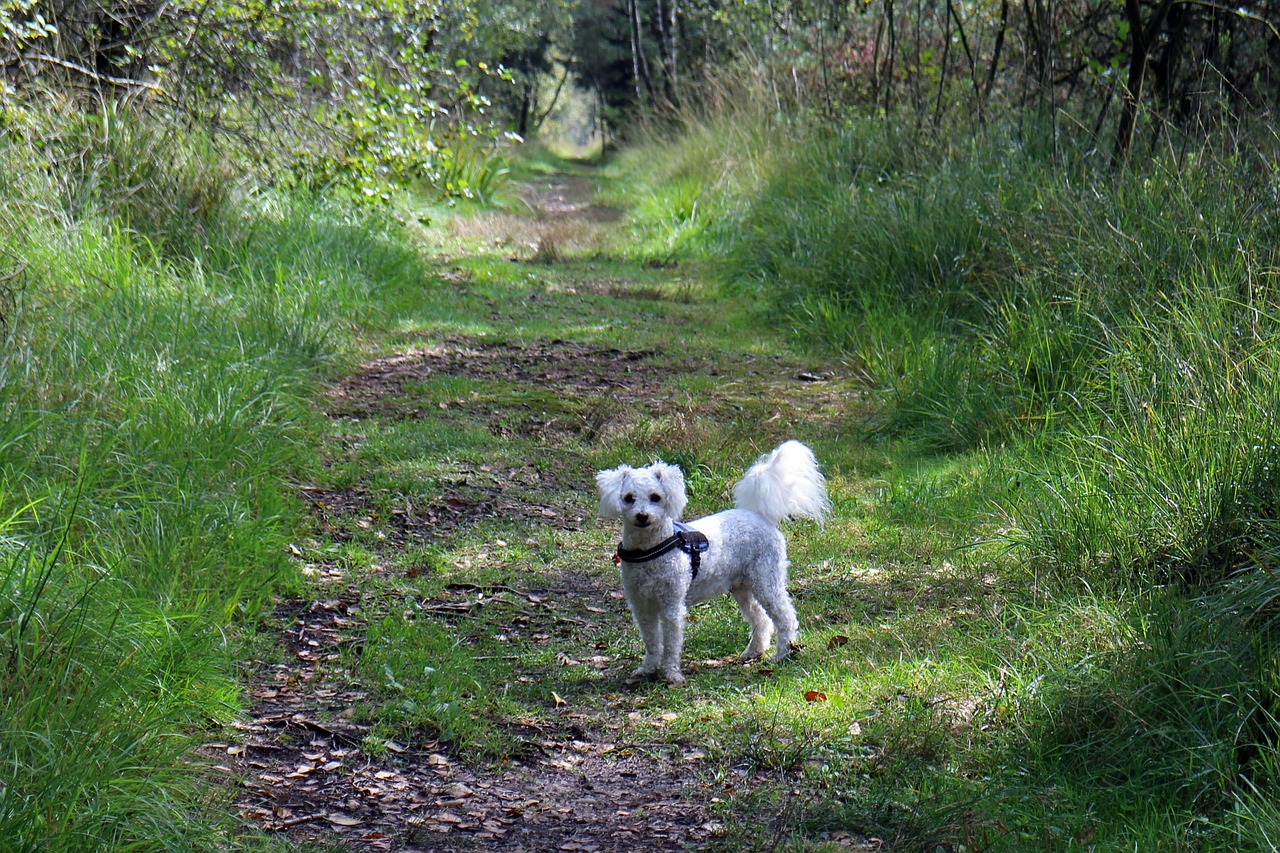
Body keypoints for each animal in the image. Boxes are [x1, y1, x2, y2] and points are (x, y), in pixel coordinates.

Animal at [599, 438, 829, 686]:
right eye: (628, 498)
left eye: (655, 497)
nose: (642, 516)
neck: (651, 550)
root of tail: (758, 515)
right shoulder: (642, 605)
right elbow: (651, 640)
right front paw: (648, 668)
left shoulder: (672, 607)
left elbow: (671, 645)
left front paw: (672, 674)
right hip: (742, 587)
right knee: (761, 619)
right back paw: (753, 651)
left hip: (767, 581)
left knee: (786, 617)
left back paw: (783, 653)